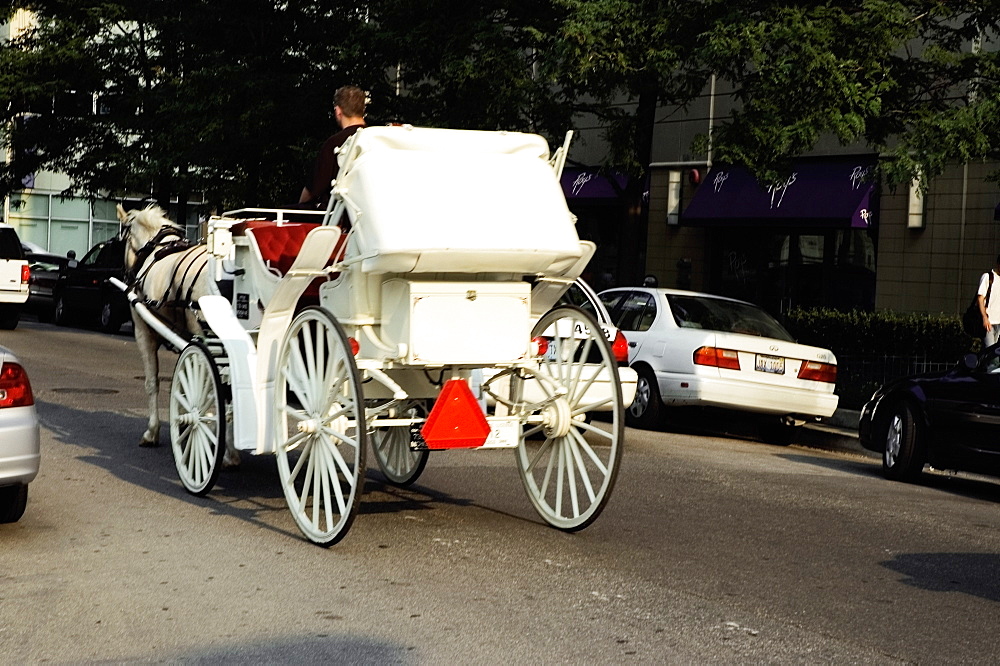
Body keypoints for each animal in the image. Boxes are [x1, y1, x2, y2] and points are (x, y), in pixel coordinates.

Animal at [116, 205, 240, 464]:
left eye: (122, 238)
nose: (125, 272)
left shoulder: (144, 333)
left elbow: (152, 383)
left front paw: (152, 432)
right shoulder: (186, 340)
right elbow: (185, 383)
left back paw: (228, 451)